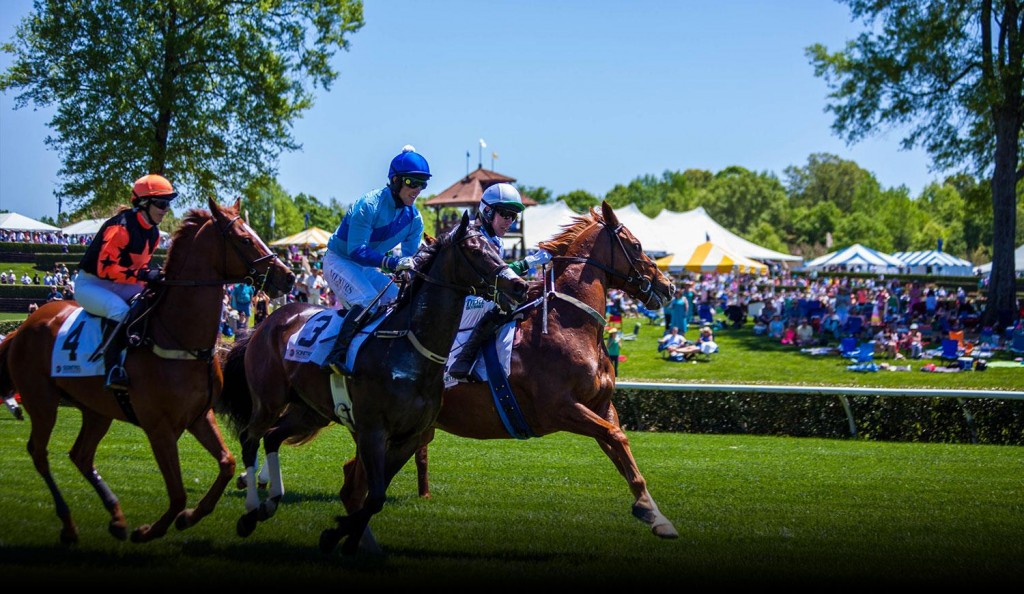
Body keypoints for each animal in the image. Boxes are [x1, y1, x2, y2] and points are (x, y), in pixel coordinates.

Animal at [0, 198, 294, 544]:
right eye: (245, 239)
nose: (288, 277)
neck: (178, 336)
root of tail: (22, 328)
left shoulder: (199, 416)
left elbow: (227, 464)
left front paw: (190, 517)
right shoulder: (159, 427)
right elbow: (178, 493)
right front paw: (153, 529)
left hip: (96, 409)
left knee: (81, 455)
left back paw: (116, 517)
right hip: (43, 401)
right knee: (40, 453)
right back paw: (70, 525)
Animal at [216, 210, 528, 553]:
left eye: (497, 249)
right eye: (475, 250)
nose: (520, 285)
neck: (409, 351)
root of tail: (268, 321)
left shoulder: (409, 437)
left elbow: (373, 499)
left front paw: (342, 538)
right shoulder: (372, 431)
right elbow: (374, 494)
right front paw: (340, 536)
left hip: (309, 411)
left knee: (272, 437)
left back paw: (270, 502)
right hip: (269, 399)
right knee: (250, 438)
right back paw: (250, 512)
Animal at [352, 201, 679, 540]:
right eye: (637, 245)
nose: (669, 287)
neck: (567, 323)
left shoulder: (601, 405)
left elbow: (619, 444)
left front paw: (652, 512)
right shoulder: (559, 408)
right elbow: (615, 435)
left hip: (410, 428)